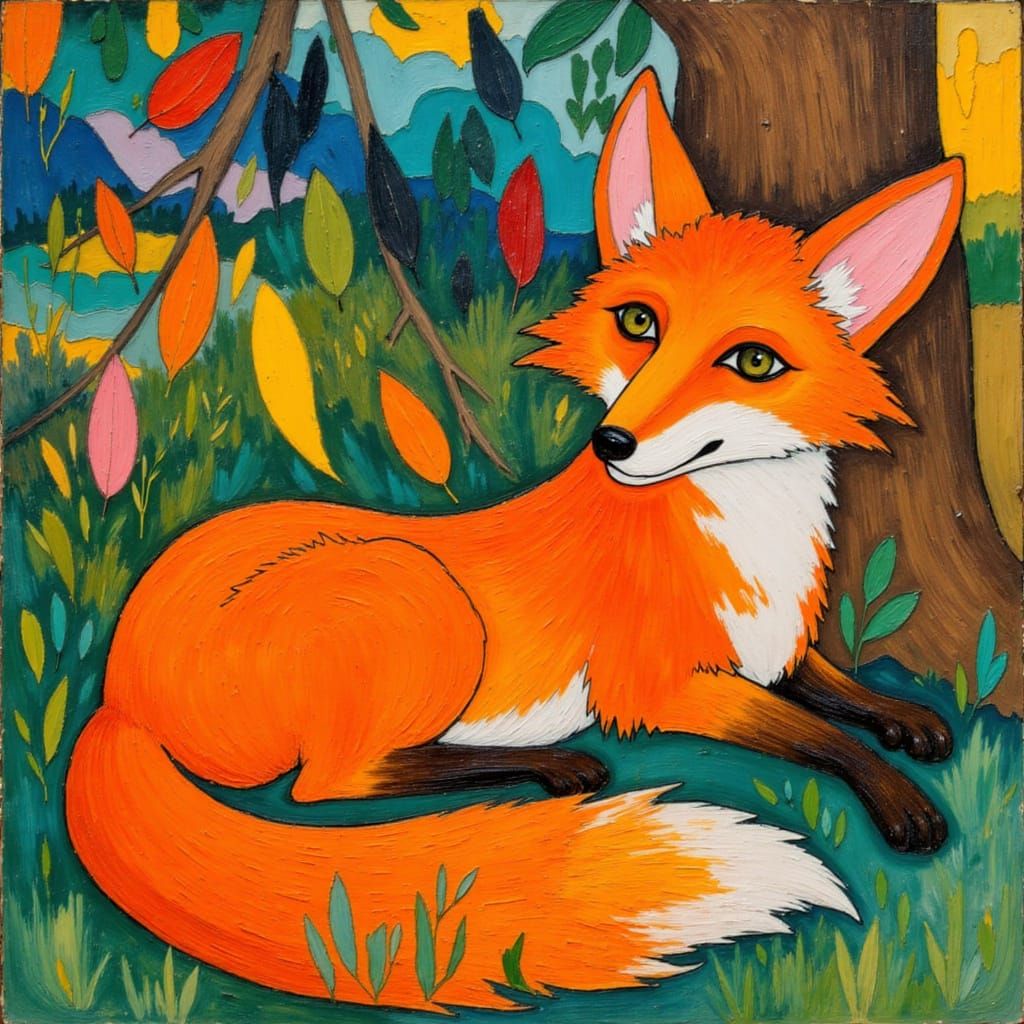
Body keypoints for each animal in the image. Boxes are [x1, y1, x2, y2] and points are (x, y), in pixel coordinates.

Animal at [66, 69, 963, 1012]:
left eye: (753, 363)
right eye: (639, 323)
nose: (613, 444)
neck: (747, 536)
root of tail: (118, 691)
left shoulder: (771, 648)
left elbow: (835, 688)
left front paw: (909, 720)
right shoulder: (658, 691)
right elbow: (816, 735)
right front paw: (900, 798)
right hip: (418, 595)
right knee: (330, 783)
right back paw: (551, 768)